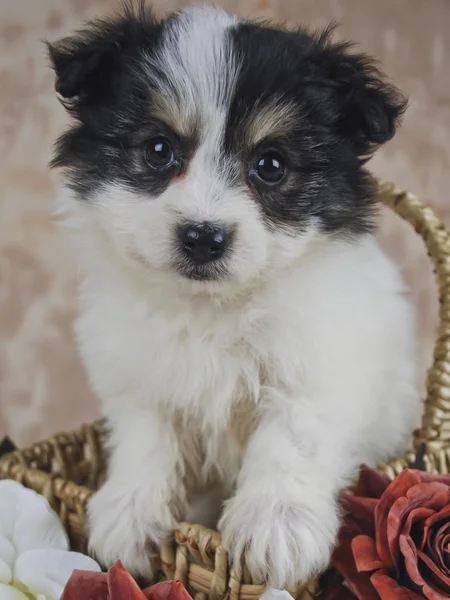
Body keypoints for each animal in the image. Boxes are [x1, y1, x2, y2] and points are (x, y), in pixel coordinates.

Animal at [50, 2, 422, 588]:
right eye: (158, 150)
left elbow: (290, 438)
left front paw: (277, 526)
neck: (214, 305)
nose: (203, 236)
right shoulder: (138, 370)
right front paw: (129, 512)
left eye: (270, 165)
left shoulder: (316, 362)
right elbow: (145, 435)